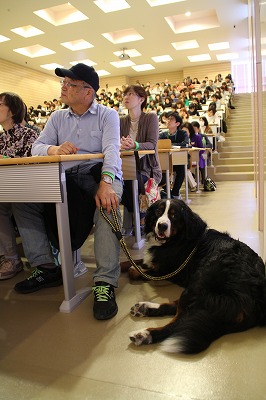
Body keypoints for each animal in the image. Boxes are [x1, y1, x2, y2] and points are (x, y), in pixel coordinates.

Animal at [129, 199, 266, 354]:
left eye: (174, 216)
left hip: (198, 283)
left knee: (178, 323)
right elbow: (130, 262)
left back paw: (145, 334)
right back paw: (144, 308)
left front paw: (133, 269)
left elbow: (134, 271)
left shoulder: (164, 271)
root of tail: (258, 300)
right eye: (158, 211)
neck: (178, 239)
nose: (162, 226)